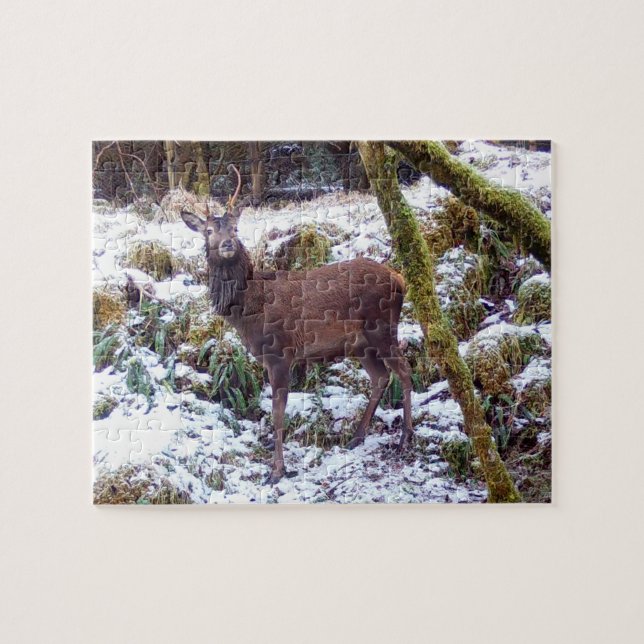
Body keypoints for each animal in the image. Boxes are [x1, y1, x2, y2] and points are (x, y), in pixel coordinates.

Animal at [180, 165, 414, 483]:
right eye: (208, 231)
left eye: (235, 228)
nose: (228, 243)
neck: (249, 311)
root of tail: (400, 279)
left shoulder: (280, 351)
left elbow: (278, 411)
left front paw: (277, 470)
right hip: (360, 344)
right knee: (380, 377)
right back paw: (357, 436)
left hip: (382, 327)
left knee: (404, 370)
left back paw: (405, 437)